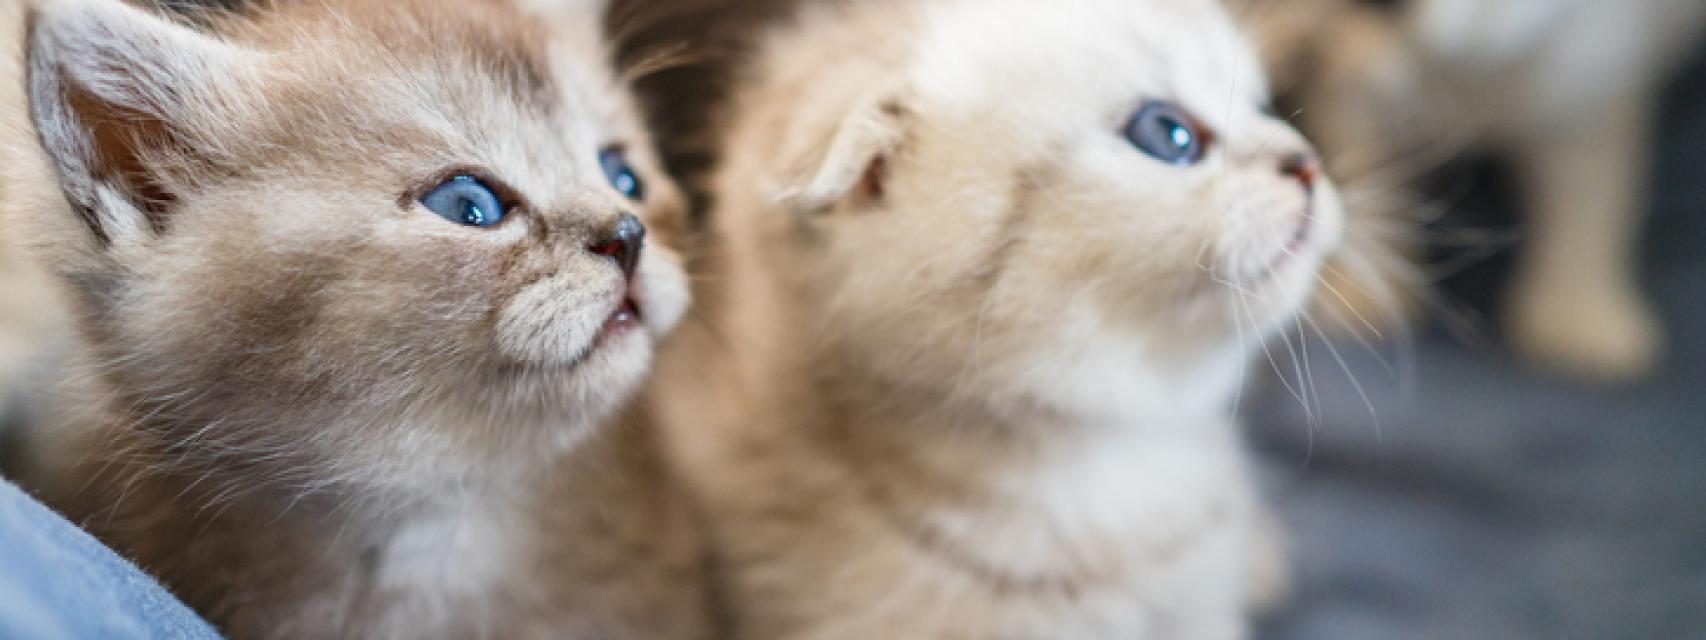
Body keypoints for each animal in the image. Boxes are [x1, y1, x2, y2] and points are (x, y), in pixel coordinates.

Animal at [1248, 0, 1699, 380]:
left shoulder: (1598, 68)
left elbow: (1587, 185)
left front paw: (1578, 315)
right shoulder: (1355, 94)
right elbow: (1376, 166)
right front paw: (1365, 290)